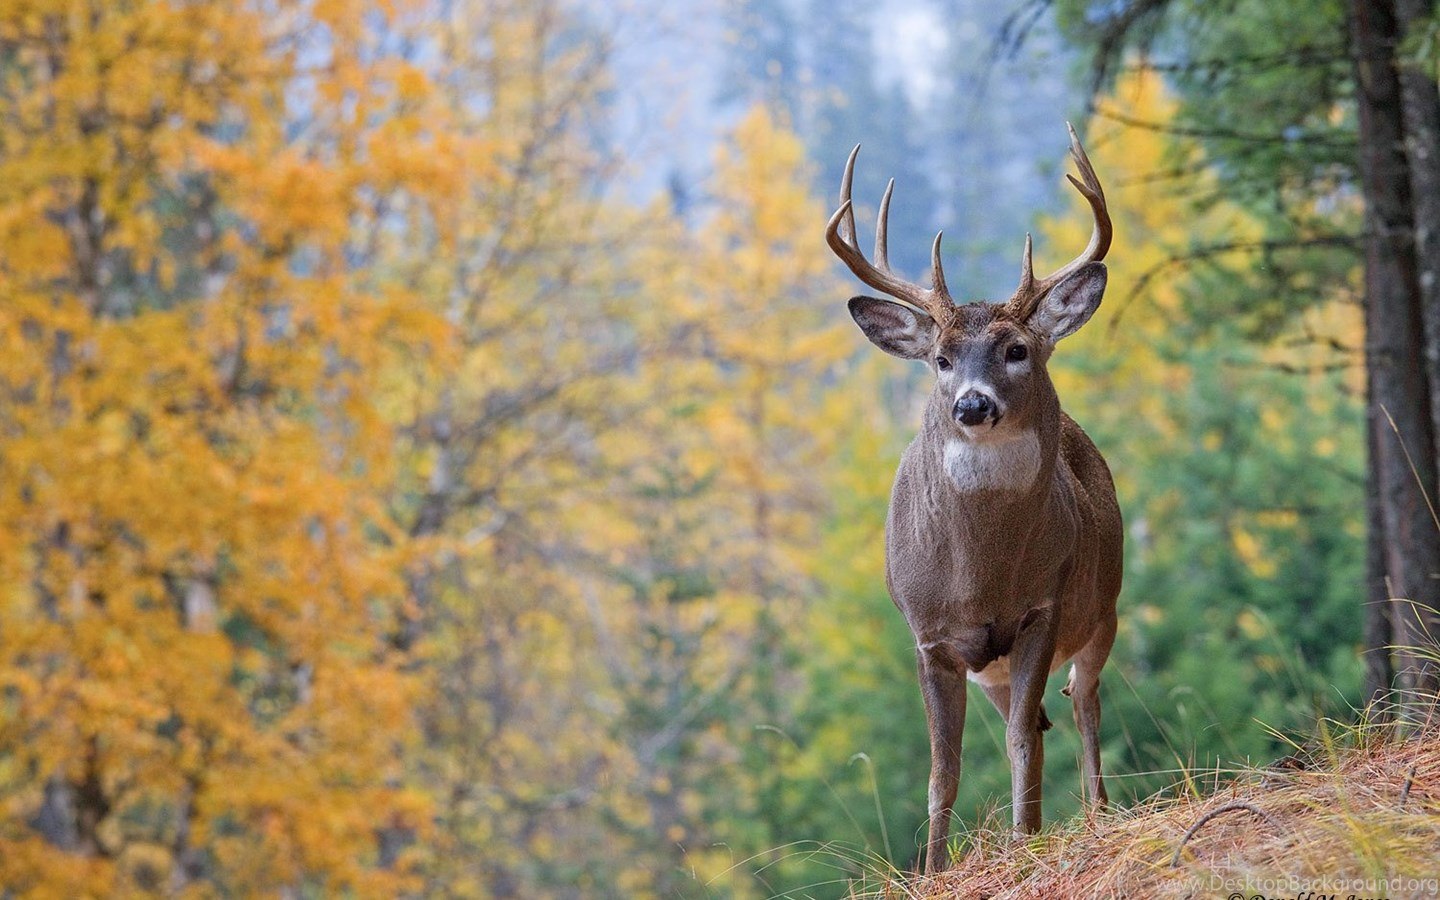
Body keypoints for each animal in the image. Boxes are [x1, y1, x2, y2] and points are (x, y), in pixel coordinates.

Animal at [829, 126, 1128, 869]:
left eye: (1017, 349)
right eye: (940, 358)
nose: (971, 404)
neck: (980, 578)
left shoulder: (1043, 608)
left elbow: (1021, 738)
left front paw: (1027, 843)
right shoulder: (929, 636)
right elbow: (945, 767)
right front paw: (933, 868)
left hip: (1104, 605)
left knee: (1082, 700)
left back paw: (1098, 811)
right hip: (990, 667)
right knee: (1046, 718)